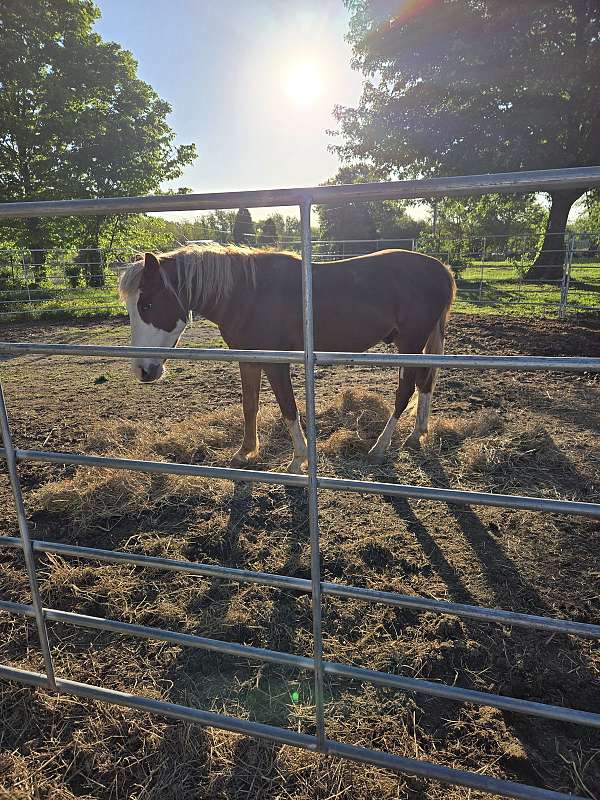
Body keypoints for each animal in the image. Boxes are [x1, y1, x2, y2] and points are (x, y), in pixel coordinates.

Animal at [118, 244, 455, 472]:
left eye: (147, 305)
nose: (143, 370)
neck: (247, 295)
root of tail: (442, 270)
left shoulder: (275, 362)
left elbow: (288, 408)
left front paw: (298, 461)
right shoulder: (248, 360)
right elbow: (250, 406)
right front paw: (245, 452)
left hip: (409, 343)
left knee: (405, 390)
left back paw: (380, 446)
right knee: (425, 382)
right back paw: (417, 434)